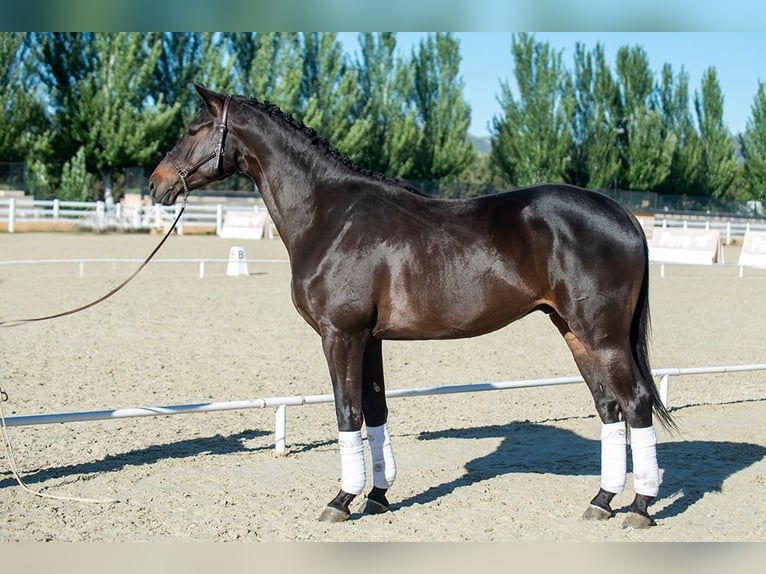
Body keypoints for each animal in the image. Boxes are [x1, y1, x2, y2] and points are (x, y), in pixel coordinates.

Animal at [147, 85, 676, 532]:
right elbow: (375, 410)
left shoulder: (340, 335)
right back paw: (602, 500)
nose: (156, 184)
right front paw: (377, 496)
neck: (330, 216)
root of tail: (624, 214)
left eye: (192, 129)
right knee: (609, 408)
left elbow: (347, 413)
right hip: (573, 331)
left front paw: (342, 500)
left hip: (603, 336)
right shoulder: (369, 340)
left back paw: (640, 507)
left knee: (635, 404)